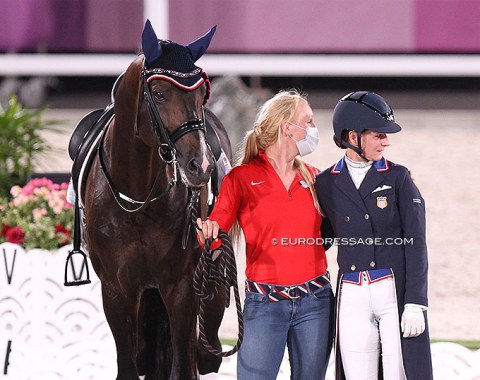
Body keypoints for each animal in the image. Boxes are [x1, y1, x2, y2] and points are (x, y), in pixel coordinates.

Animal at [80, 21, 232, 380]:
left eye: (201, 94)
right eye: (160, 93)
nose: (200, 166)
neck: (137, 198)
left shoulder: (181, 286)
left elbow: (182, 365)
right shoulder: (116, 290)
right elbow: (127, 365)